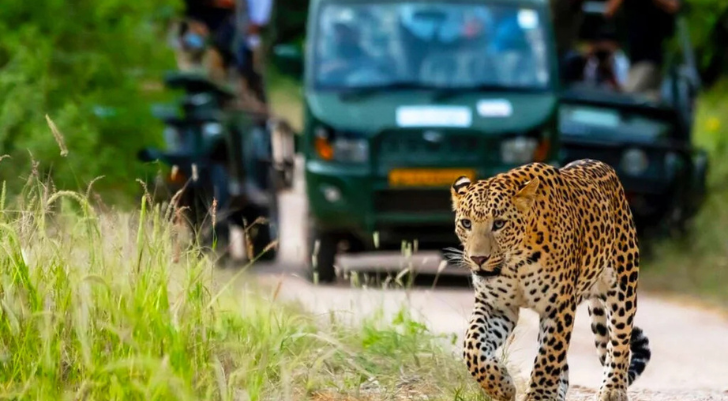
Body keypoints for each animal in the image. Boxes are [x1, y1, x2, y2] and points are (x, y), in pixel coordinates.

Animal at [448, 159, 651, 401]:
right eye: (466, 223)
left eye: (499, 224)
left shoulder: (559, 307)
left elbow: (548, 357)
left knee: (619, 342)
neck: (516, 264)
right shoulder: (496, 305)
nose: (478, 259)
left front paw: (537, 395)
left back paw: (613, 389)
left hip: (622, 287)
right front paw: (501, 386)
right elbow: (472, 346)